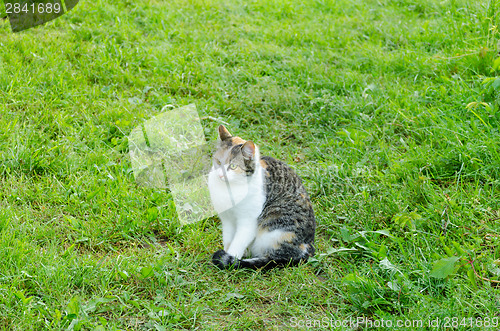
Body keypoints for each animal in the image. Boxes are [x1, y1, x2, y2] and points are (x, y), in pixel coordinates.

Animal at [207, 125, 316, 270]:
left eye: (233, 166)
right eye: (218, 162)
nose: (220, 175)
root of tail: (309, 246)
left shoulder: (248, 221)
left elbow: (237, 243)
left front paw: (231, 262)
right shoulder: (227, 219)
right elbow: (228, 240)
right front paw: (227, 254)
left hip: (274, 230)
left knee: (276, 258)